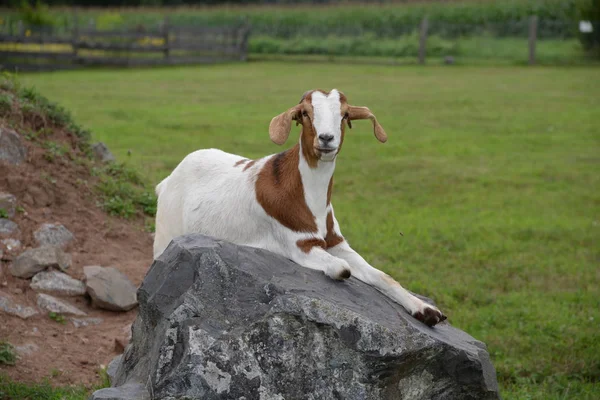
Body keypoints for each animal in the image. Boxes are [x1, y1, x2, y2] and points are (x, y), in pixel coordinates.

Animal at [154, 89, 446, 326]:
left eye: (344, 115)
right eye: (305, 113)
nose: (326, 139)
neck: (308, 196)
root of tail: (166, 181)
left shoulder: (337, 242)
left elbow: (381, 275)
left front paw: (427, 311)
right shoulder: (299, 243)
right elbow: (343, 270)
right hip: (165, 233)